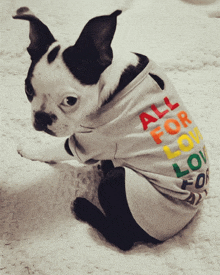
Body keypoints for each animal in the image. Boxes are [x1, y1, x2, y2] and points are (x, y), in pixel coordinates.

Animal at [12, 7, 209, 252]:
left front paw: (29, 149)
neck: (110, 78)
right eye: (28, 90)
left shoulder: (92, 141)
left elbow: (54, 148)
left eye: (70, 101)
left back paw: (84, 207)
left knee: (123, 239)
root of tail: (174, 231)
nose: (41, 117)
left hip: (118, 185)